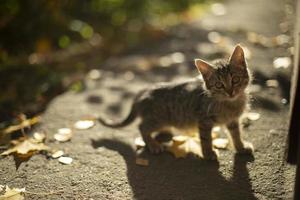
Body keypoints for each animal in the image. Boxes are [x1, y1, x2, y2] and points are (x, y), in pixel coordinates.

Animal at [98, 45, 253, 159]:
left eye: (235, 80)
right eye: (219, 85)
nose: (230, 92)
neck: (230, 104)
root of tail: (144, 90)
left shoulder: (233, 121)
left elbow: (236, 134)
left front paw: (241, 147)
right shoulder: (204, 121)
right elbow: (206, 139)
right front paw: (208, 154)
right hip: (157, 118)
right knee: (142, 127)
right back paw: (153, 145)